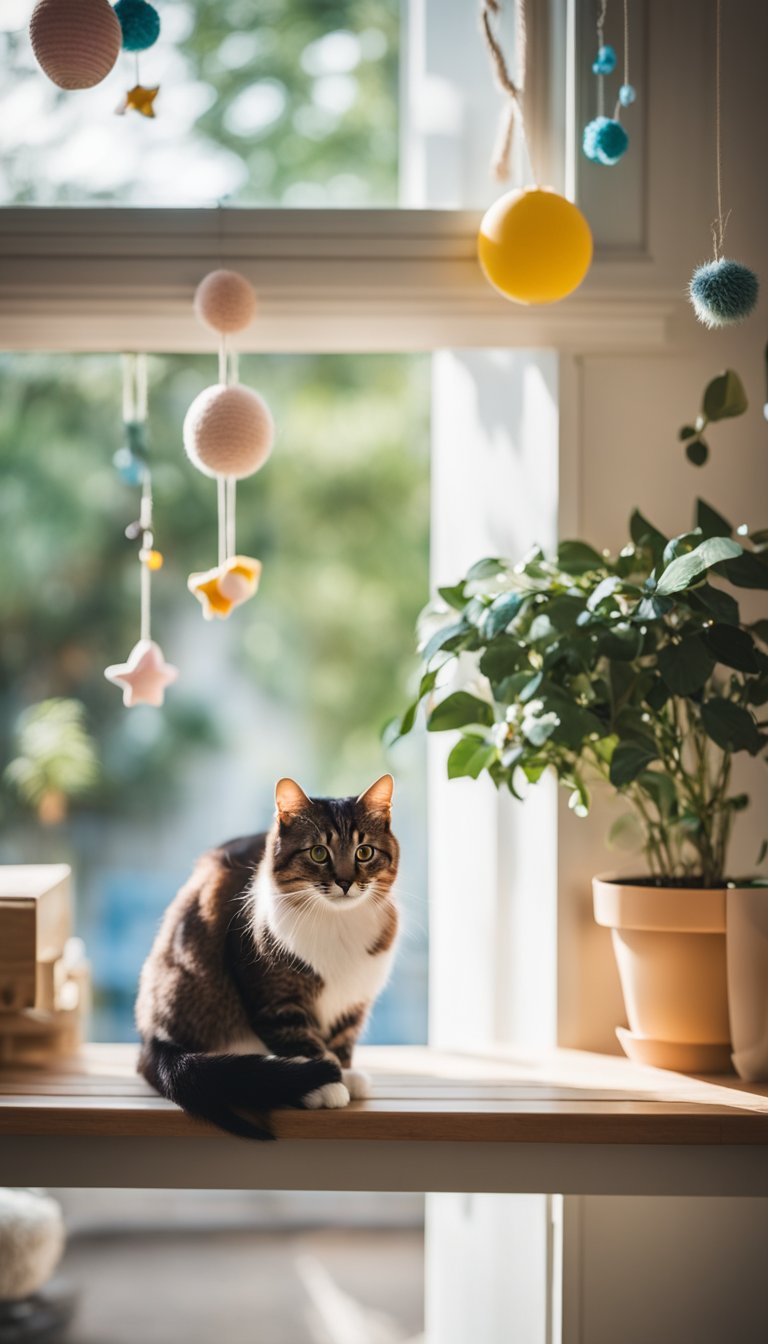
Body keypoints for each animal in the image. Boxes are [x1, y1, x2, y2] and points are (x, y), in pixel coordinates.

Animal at [135, 774, 400, 1139]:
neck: (337, 921)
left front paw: (345, 1074)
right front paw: (323, 1084)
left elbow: (342, 1041)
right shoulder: (274, 999)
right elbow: (300, 1040)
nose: (345, 882)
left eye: (364, 852)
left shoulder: (353, 1002)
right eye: (319, 852)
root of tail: (151, 1038)